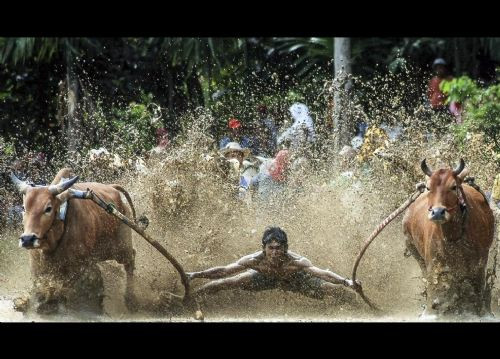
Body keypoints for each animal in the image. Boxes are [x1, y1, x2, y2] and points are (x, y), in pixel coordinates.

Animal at [10, 169, 139, 316]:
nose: (27, 239)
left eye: (48, 208)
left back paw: (131, 301)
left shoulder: (79, 266)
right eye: (24, 208)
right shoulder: (36, 265)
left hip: (121, 249)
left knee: (130, 260)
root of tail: (112, 188)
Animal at [400, 160, 494, 318]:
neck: (454, 235)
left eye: (454, 186)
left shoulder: (480, 263)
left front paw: (481, 312)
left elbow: (478, 288)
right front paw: (430, 313)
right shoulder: (434, 264)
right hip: (414, 250)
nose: (437, 212)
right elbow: (433, 289)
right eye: (428, 187)